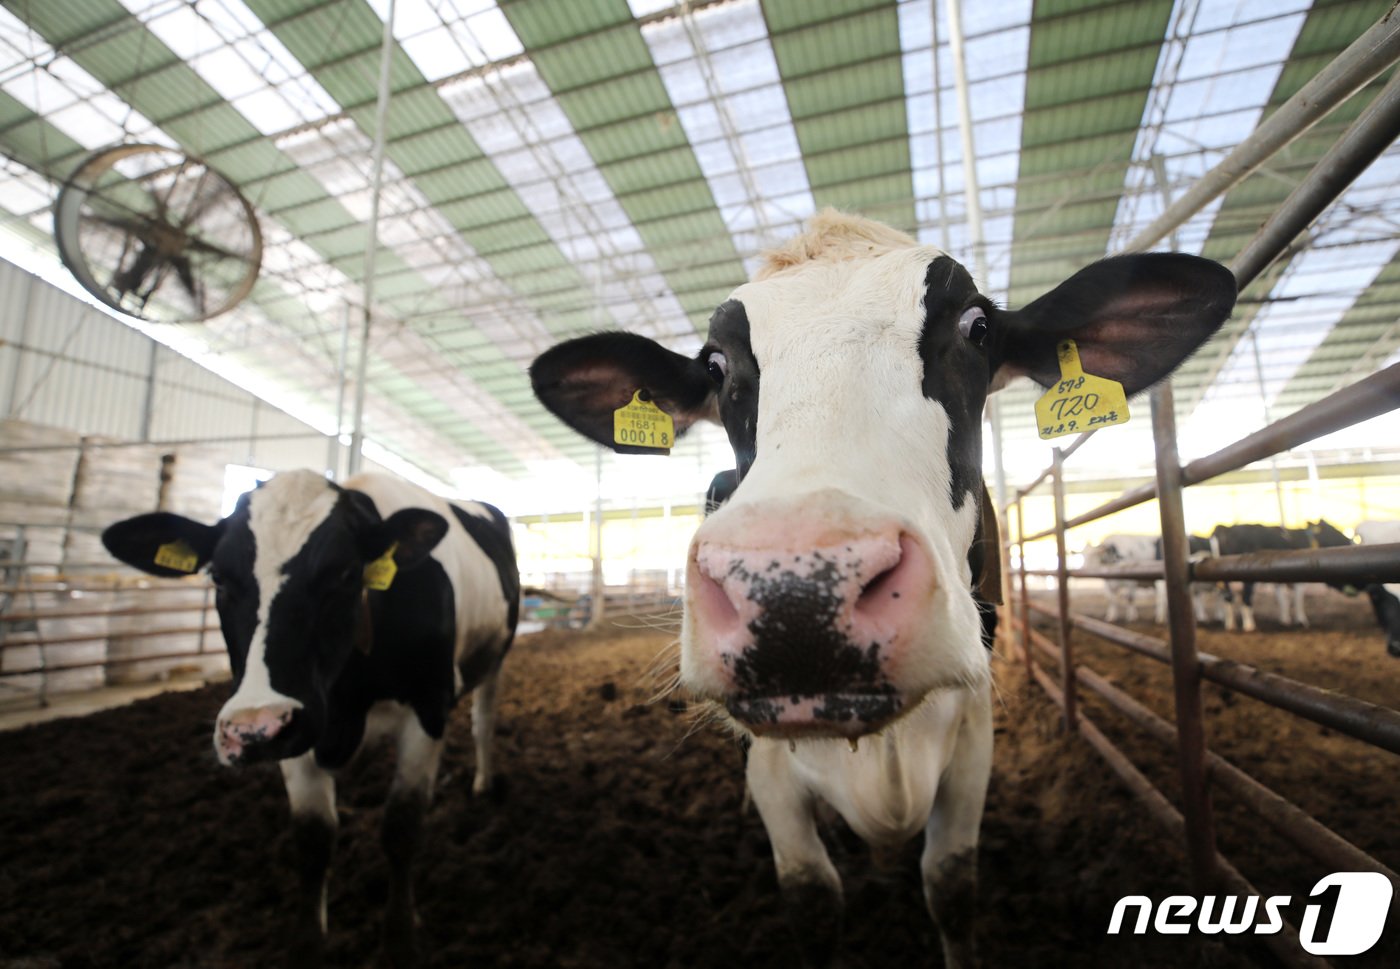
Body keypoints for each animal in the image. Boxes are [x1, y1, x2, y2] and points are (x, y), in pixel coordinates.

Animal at [102, 467, 520, 963]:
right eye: (219, 577)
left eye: (345, 573)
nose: (251, 727)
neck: (344, 698)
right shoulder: (295, 732)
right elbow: (313, 838)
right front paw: (308, 942)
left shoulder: (428, 707)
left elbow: (401, 827)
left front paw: (400, 939)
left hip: (495, 658)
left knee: (483, 721)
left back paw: (484, 782)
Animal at [523, 208, 1226, 963]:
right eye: (715, 364)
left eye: (977, 327)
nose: (797, 596)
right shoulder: (772, 769)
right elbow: (812, 895)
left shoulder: (973, 738)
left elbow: (950, 882)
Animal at [1209, 518, 1349, 632]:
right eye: (1333, 529)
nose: (1348, 539)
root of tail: (1226, 528)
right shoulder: (1299, 580)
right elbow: (1297, 599)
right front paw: (1301, 621)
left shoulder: (1278, 578)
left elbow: (1282, 598)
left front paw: (1285, 619)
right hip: (1245, 574)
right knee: (1245, 598)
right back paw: (1249, 626)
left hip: (1223, 573)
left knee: (1228, 598)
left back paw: (1230, 625)